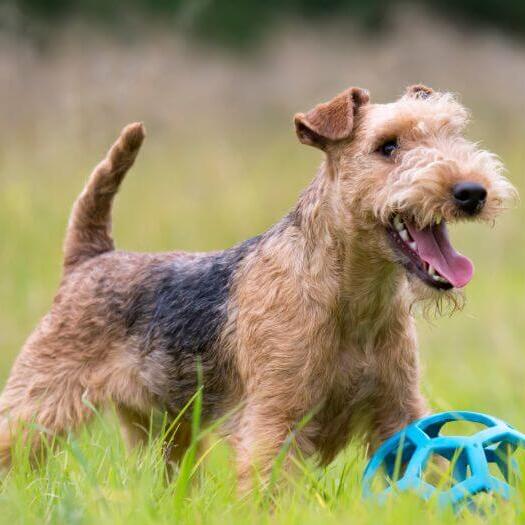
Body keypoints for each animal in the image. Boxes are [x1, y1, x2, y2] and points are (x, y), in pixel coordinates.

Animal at [0, 84, 516, 490]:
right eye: (387, 146)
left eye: (453, 132)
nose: (472, 192)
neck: (352, 299)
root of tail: (91, 258)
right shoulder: (276, 420)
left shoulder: (400, 413)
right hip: (38, 402)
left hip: (163, 431)